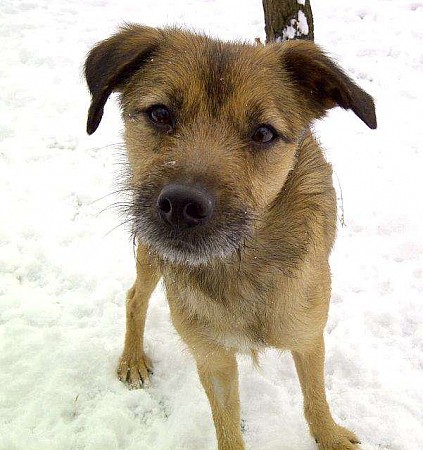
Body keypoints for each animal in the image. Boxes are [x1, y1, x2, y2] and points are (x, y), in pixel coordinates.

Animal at [84, 24, 376, 450]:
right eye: (160, 113)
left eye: (263, 133)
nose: (182, 204)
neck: (238, 263)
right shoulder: (212, 357)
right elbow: (227, 425)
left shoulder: (307, 335)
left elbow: (315, 398)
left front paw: (330, 436)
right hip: (151, 256)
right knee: (135, 297)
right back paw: (133, 359)